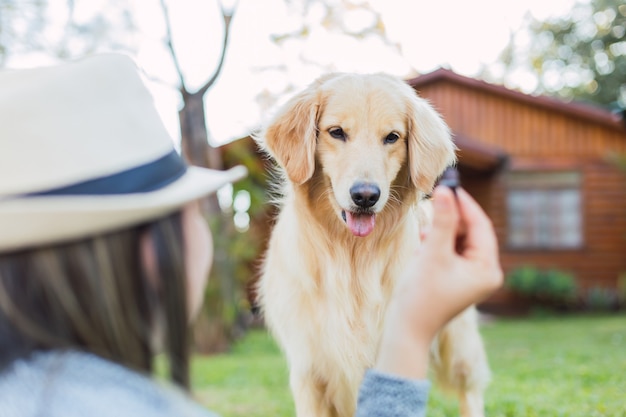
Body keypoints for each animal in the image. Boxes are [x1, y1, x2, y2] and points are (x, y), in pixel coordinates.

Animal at [254, 73, 488, 414]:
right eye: (336, 132)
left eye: (392, 137)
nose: (365, 196)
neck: (351, 255)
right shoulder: (309, 372)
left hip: (458, 347)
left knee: (470, 390)